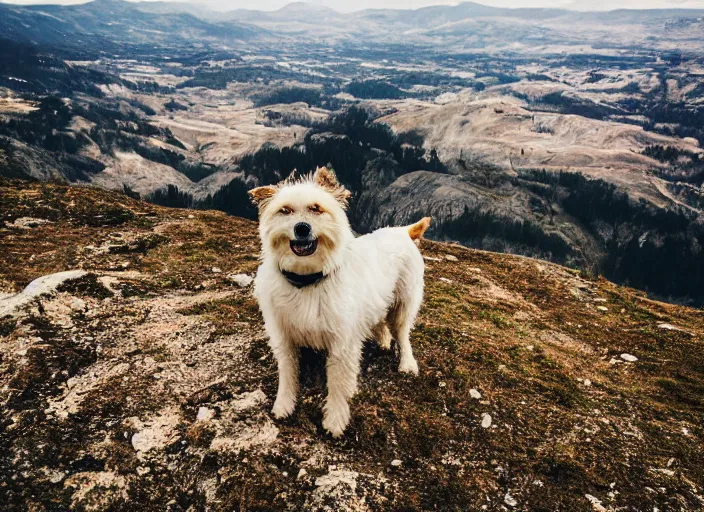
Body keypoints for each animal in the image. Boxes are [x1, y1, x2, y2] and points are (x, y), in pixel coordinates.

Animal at [250, 167, 432, 436]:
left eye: (316, 208)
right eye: (285, 210)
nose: (302, 228)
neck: (307, 280)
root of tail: (403, 231)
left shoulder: (341, 345)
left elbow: (336, 383)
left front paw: (335, 420)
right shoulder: (284, 337)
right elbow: (287, 373)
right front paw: (284, 404)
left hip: (403, 304)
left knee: (402, 334)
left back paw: (407, 362)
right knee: (380, 322)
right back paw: (383, 339)